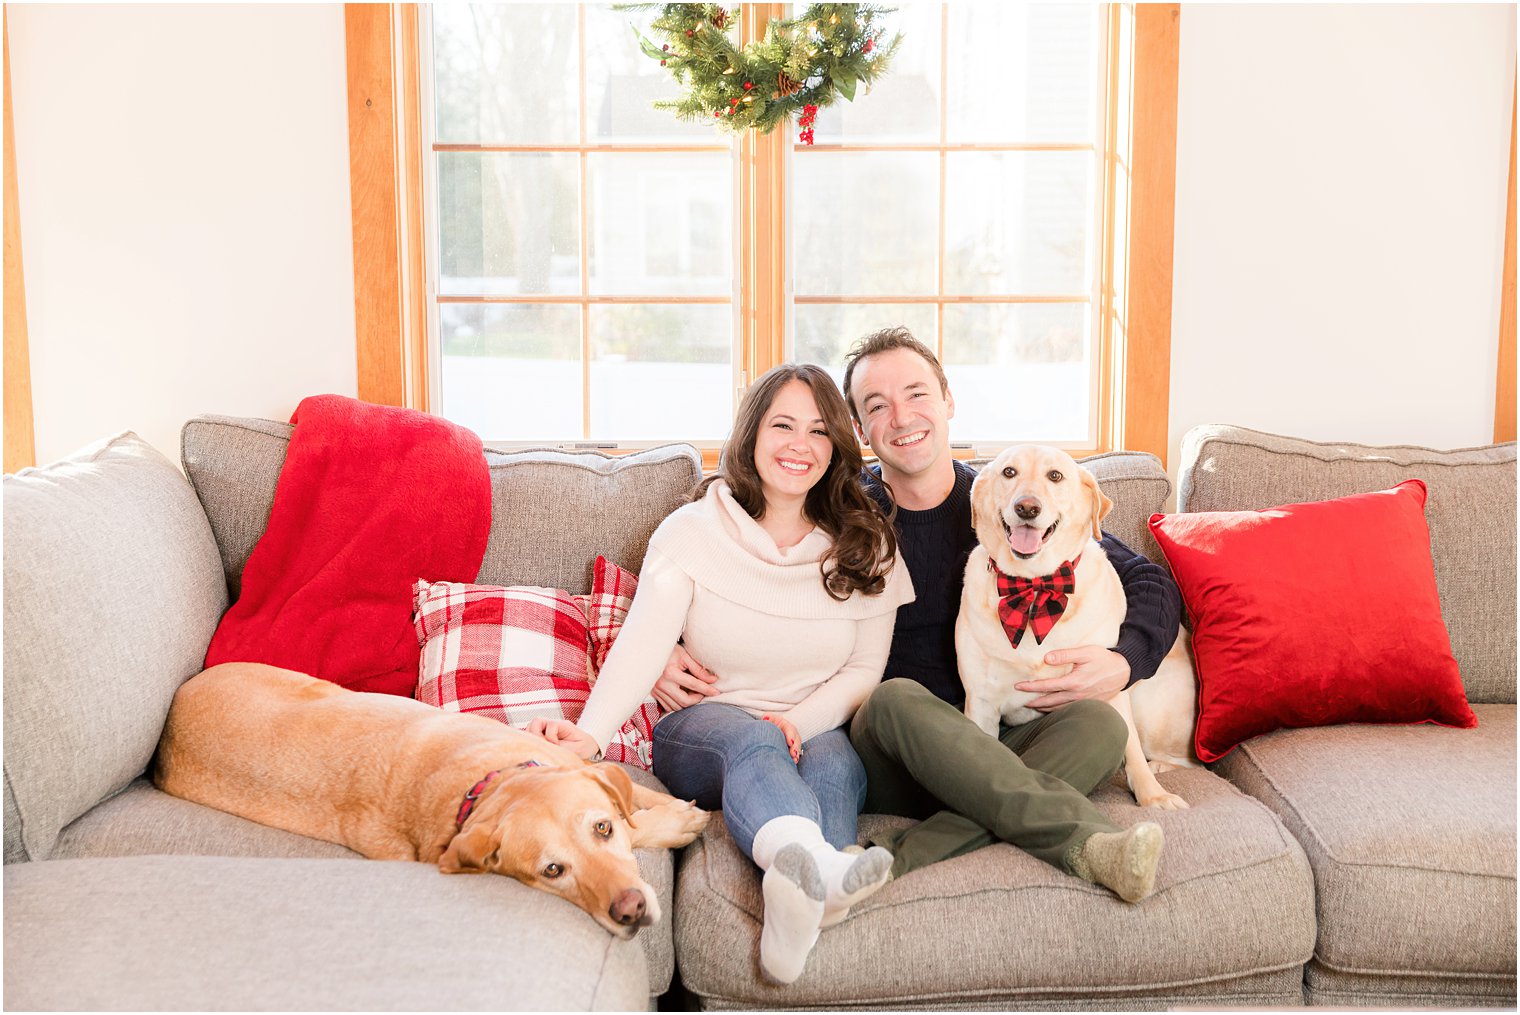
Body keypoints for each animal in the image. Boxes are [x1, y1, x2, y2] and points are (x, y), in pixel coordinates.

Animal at [157, 662, 702, 942]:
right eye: (553, 871)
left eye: (601, 829)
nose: (630, 910)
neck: (484, 784)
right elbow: (642, 820)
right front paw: (677, 821)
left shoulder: (575, 763)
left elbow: (636, 796)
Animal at [960, 446, 1197, 814]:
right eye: (1009, 472)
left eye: (1055, 476)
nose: (1026, 507)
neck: (1035, 587)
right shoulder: (981, 704)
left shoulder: (1109, 688)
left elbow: (1132, 751)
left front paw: (1152, 795)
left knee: (1185, 759)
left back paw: (1159, 766)